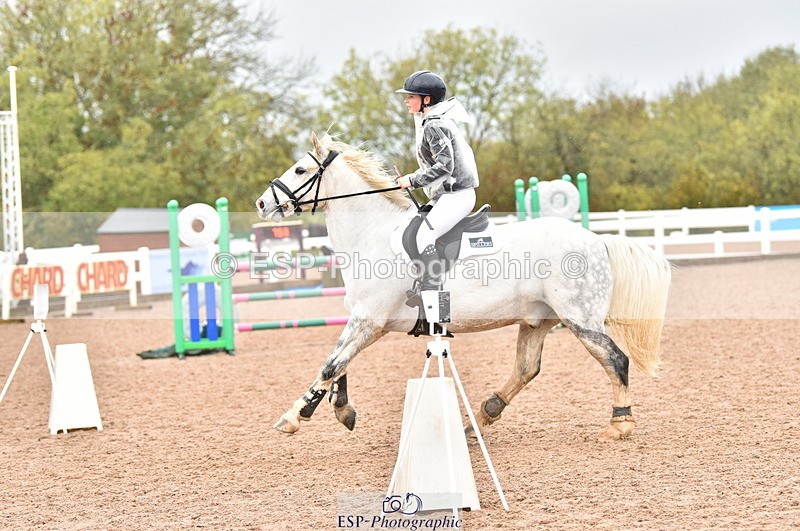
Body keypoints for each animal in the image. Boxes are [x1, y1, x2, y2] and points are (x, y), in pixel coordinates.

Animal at [255, 132, 671, 441]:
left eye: (300, 169)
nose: (261, 203)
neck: (372, 235)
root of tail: (597, 239)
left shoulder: (369, 321)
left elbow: (331, 365)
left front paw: (294, 416)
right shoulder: (364, 320)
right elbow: (339, 364)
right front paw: (342, 410)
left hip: (580, 319)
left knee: (615, 360)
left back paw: (620, 423)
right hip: (537, 320)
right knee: (526, 368)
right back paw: (481, 417)